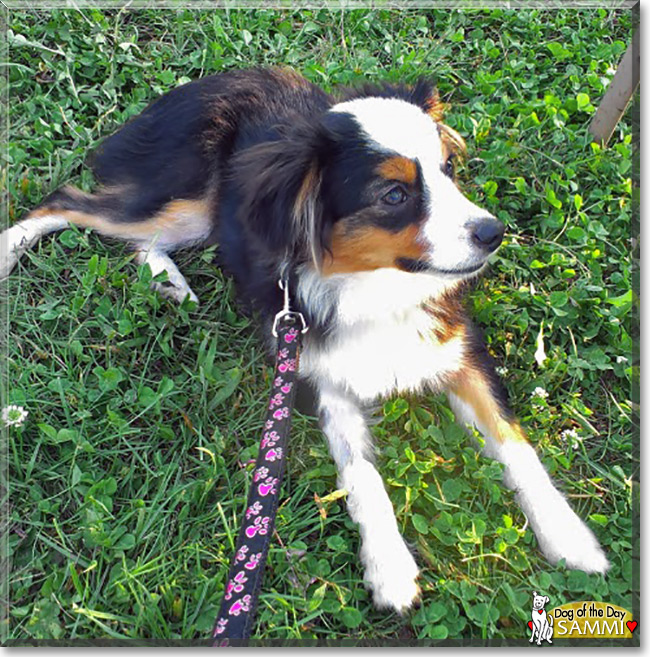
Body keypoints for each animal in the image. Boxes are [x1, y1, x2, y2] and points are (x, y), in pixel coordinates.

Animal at [1, 66, 608, 608]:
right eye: (394, 195)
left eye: (448, 169)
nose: (492, 233)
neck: (375, 284)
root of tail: (202, 83)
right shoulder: (316, 374)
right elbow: (361, 474)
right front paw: (389, 568)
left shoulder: (458, 349)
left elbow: (514, 444)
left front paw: (570, 538)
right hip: (187, 195)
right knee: (71, 202)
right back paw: (14, 250)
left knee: (139, 238)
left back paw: (168, 281)